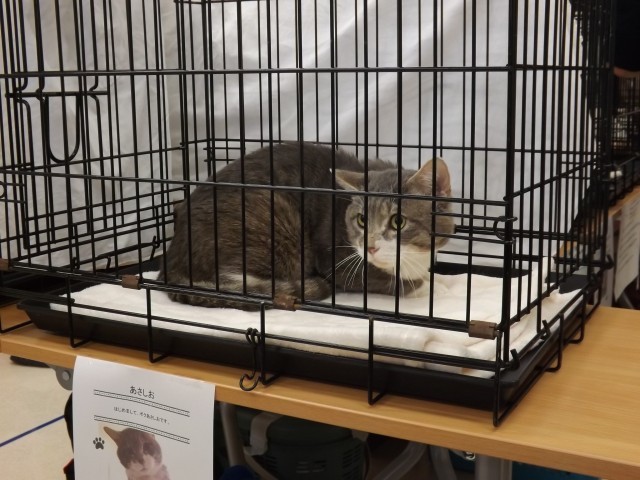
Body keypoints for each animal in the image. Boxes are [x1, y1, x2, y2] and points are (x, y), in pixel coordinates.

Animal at [160, 142, 453, 310]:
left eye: (398, 221)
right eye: (362, 220)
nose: (369, 247)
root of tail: (171, 265)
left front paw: (435, 279)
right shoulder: (338, 261)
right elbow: (391, 281)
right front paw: (432, 288)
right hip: (272, 217)